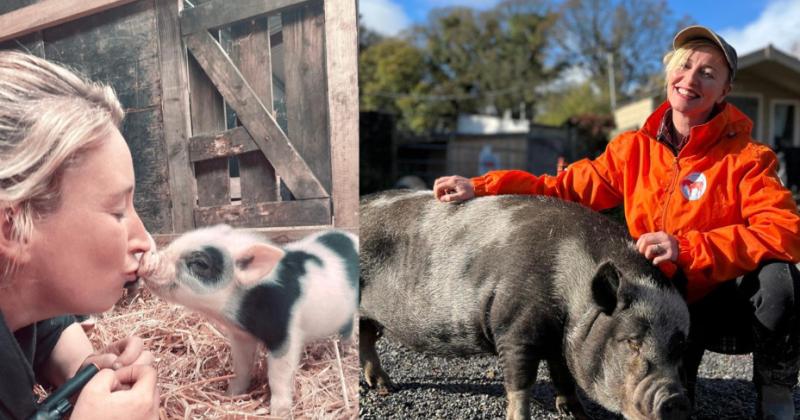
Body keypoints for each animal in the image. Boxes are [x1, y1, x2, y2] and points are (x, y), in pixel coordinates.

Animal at [137, 224, 358, 416]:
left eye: (200, 264)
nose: (147, 262)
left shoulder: (284, 334)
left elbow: (279, 375)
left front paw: (279, 413)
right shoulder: (240, 336)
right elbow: (242, 367)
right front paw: (229, 395)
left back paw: (346, 350)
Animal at [360, 190, 691, 420]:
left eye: (679, 347)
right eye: (631, 342)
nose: (675, 400)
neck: (572, 298)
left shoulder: (560, 344)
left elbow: (564, 376)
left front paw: (577, 414)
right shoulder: (514, 327)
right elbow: (521, 383)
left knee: (366, 339)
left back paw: (385, 387)